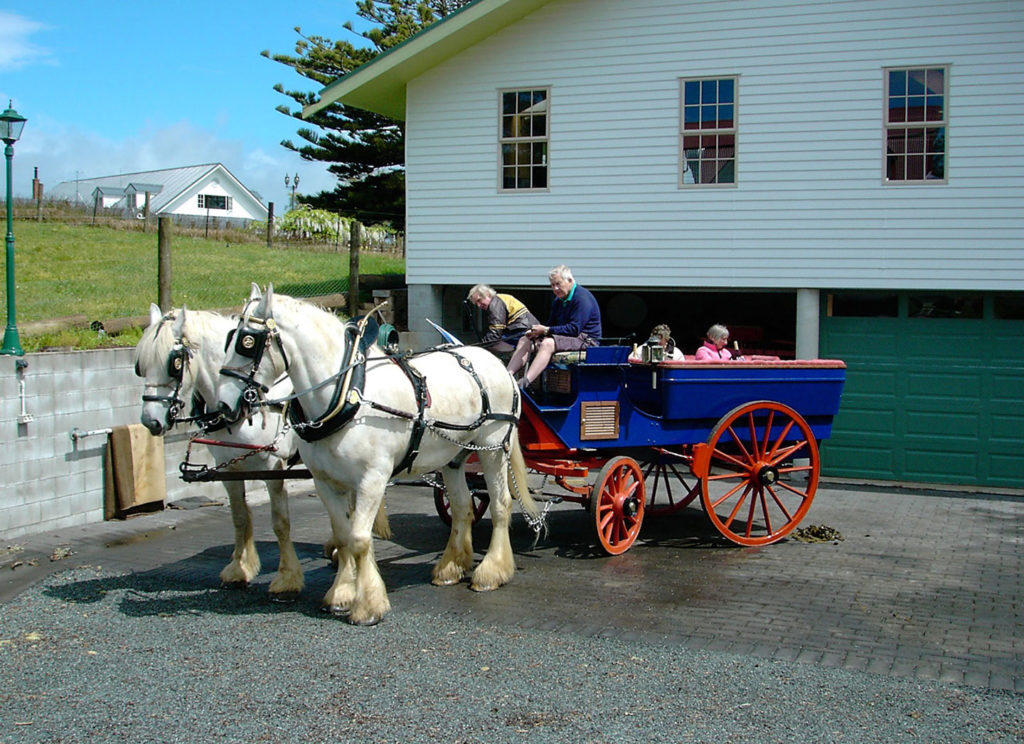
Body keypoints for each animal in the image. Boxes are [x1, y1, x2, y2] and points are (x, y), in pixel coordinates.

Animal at [132, 302, 303, 597]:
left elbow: (280, 521)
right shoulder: (228, 469)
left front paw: (287, 578)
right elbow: (239, 517)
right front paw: (239, 569)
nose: (150, 421)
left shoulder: (274, 468)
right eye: (141, 366)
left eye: (174, 364)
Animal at [212, 288, 540, 626]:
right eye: (230, 338)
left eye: (247, 341)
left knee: (501, 504)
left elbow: (359, 538)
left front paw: (368, 605)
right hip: (454, 455)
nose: (223, 407)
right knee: (463, 506)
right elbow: (343, 536)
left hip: (492, 447)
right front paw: (341, 594)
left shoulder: (372, 478)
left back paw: (492, 571)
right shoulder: (324, 481)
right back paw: (451, 566)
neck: (348, 394)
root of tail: (497, 364)